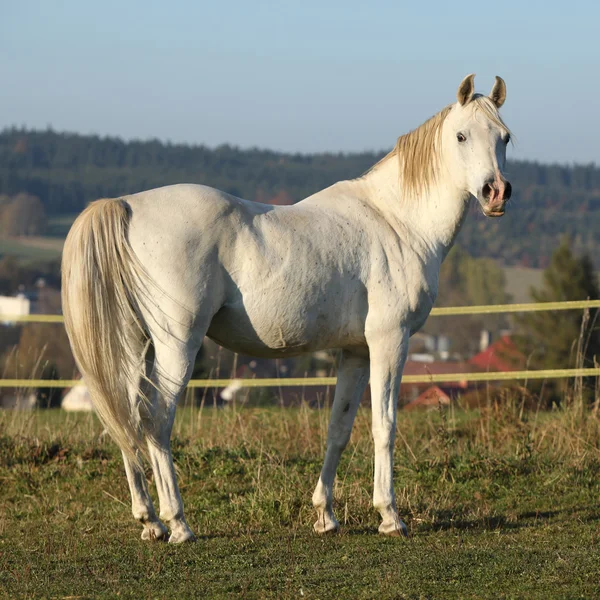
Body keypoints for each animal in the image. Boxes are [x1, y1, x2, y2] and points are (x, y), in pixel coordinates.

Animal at [59, 72, 510, 540]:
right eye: (461, 135)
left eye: (505, 137)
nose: (496, 192)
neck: (396, 221)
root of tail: (128, 205)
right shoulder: (390, 341)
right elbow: (384, 425)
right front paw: (390, 515)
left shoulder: (356, 351)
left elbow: (339, 428)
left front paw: (325, 515)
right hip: (176, 344)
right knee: (157, 419)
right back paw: (178, 522)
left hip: (135, 345)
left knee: (126, 416)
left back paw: (149, 520)